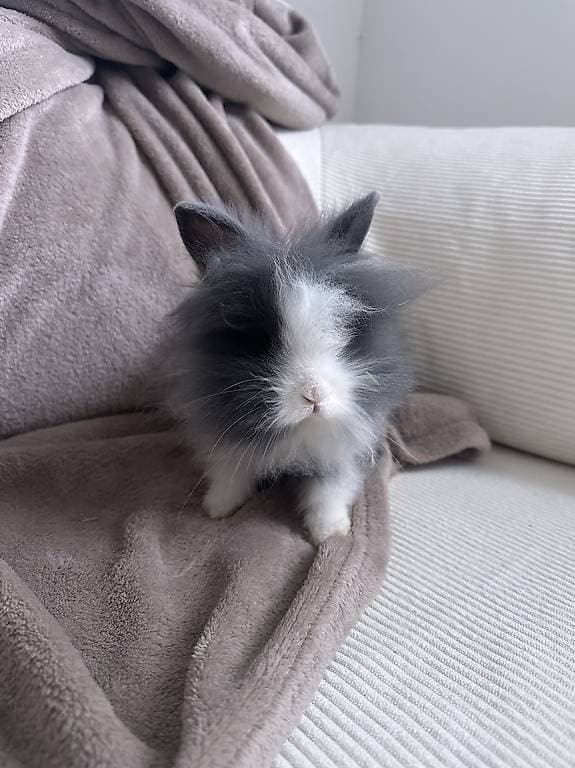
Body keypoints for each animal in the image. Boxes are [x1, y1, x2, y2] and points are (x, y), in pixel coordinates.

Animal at [161, 193, 414, 544]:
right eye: (261, 340)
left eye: (346, 329)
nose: (314, 395)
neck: (300, 431)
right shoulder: (225, 437)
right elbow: (230, 472)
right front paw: (218, 507)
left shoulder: (337, 452)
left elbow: (328, 490)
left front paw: (330, 531)